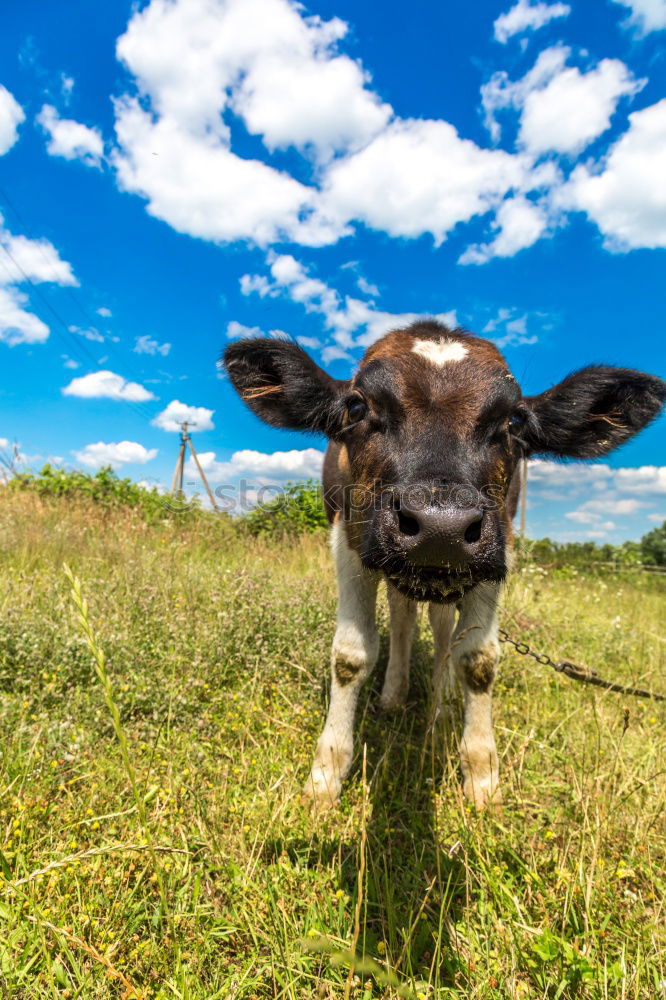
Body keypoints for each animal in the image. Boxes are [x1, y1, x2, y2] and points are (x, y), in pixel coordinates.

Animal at [224, 324, 664, 808]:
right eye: (357, 407)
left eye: (514, 421)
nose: (442, 525)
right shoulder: (348, 540)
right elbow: (351, 654)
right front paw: (326, 775)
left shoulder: (498, 550)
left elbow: (478, 658)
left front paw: (482, 774)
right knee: (402, 618)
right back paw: (394, 693)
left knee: (437, 627)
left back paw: (442, 700)